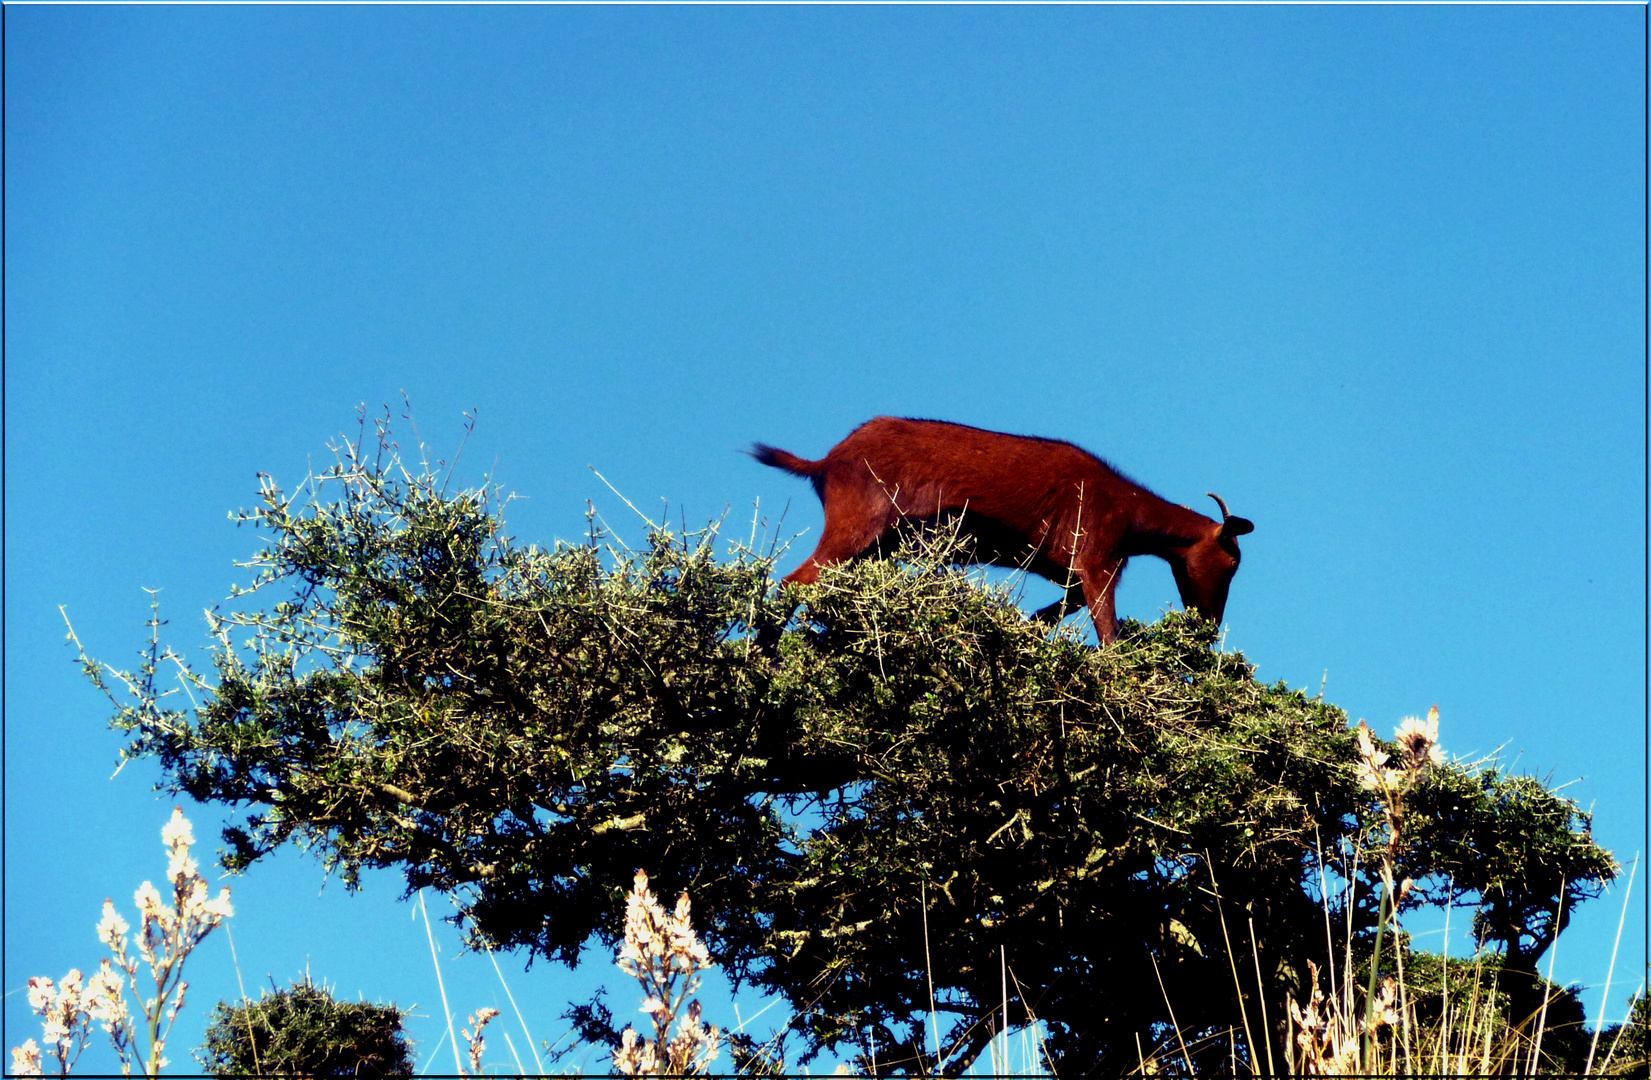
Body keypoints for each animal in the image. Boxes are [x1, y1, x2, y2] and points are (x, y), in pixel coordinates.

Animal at [749, 419, 1248, 647]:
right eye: (1231, 562)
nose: (1209, 627)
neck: (1129, 511)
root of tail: (826, 463)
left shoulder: (1067, 570)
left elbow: (1058, 610)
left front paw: (1026, 630)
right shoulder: (1097, 559)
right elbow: (1107, 630)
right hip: (854, 527)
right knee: (794, 583)